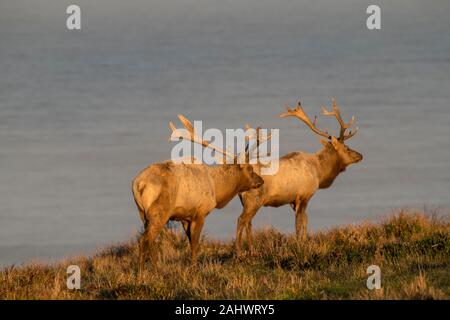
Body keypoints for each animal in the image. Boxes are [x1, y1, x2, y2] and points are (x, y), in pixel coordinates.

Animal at [130, 114, 264, 272]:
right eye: (250, 169)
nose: (261, 180)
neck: (217, 191)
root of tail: (138, 184)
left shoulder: (184, 216)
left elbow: (189, 241)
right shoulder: (200, 212)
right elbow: (195, 244)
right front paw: (194, 270)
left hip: (142, 214)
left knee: (150, 241)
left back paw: (151, 272)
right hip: (159, 212)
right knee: (145, 240)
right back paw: (146, 273)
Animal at [236, 98, 362, 255]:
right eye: (346, 148)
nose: (360, 155)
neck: (319, 173)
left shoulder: (293, 200)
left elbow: (304, 220)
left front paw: (303, 241)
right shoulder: (305, 195)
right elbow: (299, 222)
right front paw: (299, 244)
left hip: (246, 202)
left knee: (248, 223)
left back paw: (252, 249)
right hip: (254, 200)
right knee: (241, 220)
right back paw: (239, 251)